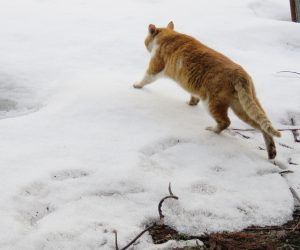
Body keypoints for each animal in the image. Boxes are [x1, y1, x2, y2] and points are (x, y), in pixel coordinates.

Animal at [134, 21, 282, 158]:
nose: (145, 43)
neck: (169, 35)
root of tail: (240, 75)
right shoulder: (191, 86)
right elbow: (193, 96)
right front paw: (192, 103)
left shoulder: (155, 66)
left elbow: (146, 78)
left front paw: (136, 85)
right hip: (242, 108)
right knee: (262, 126)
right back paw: (271, 152)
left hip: (212, 103)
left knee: (226, 122)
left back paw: (212, 130)